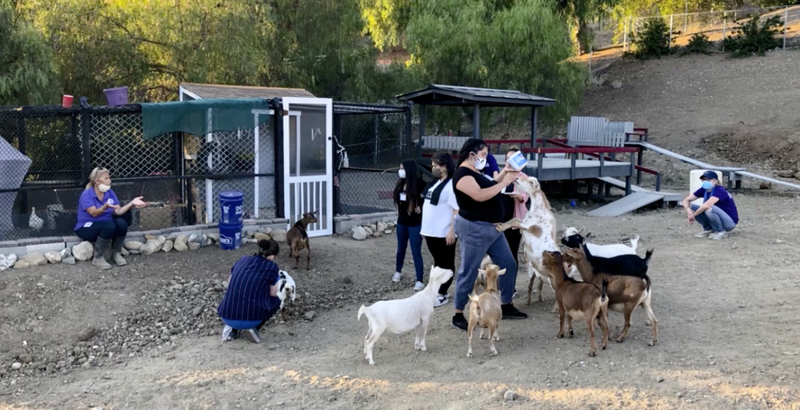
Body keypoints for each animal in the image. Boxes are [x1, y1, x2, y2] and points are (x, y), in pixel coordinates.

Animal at [495, 174, 560, 311]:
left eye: (530, 182)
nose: (516, 178)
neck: (539, 210)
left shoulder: (528, 226)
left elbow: (514, 221)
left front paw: (499, 228)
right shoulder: (523, 223)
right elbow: (514, 219)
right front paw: (500, 225)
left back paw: (555, 309)